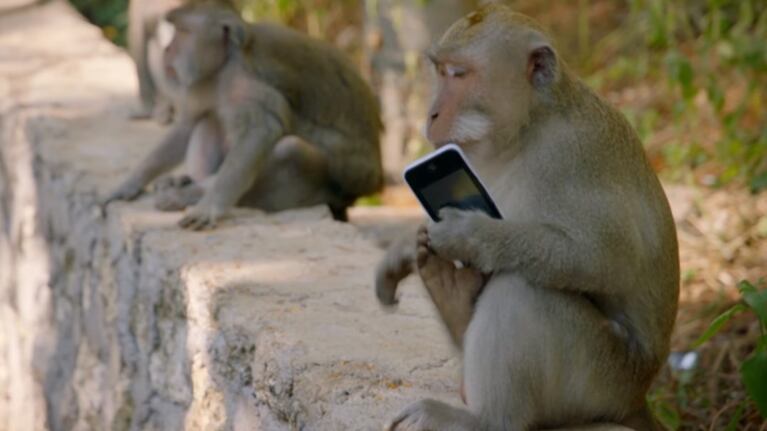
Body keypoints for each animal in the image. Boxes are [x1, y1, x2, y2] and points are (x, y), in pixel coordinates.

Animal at [107, 4, 384, 229]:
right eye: (175, 31)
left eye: (182, 32)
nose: (167, 49)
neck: (225, 63)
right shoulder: (203, 81)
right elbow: (188, 124)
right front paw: (131, 182)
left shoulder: (245, 81)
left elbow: (262, 130)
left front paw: (211, 205)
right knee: (210, 119)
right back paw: (188, 181)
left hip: (339, 185)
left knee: (290, 149)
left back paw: (191, 194)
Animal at [374, 5, 679, 431]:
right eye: (441, 71)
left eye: (459, 74)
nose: (431, 113)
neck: (528, 127)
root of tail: (637, 397)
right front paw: (404, 245)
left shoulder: (571, 156)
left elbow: (604, 259)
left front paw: (469, 235)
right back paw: (453, 298)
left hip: (604, 378)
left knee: (521, 289)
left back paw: (486, 420)